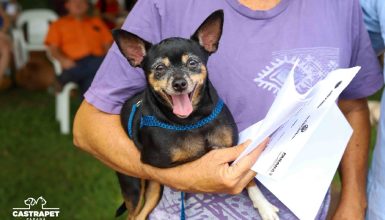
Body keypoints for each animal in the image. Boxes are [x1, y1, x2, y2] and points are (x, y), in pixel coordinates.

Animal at [112, 9, 278, 220]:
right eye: (159, 68)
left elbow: (249, 181)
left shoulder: (229, 148)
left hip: (154, 190)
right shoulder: (160, 165)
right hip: (134, 185)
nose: (179, 83)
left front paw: (264, 206)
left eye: (192, 62)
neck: (193, 120)